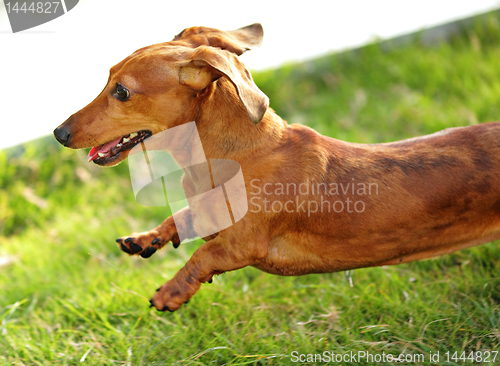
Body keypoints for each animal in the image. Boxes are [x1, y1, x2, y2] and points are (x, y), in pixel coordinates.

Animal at [53, 23, 500, 312]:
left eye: (121, 91)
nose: (58, 133)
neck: (238, 155)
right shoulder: (207, 214)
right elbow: (182, 217)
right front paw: (146, 238)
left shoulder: (243, 244)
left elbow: (205, 254)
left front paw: (171, 292)